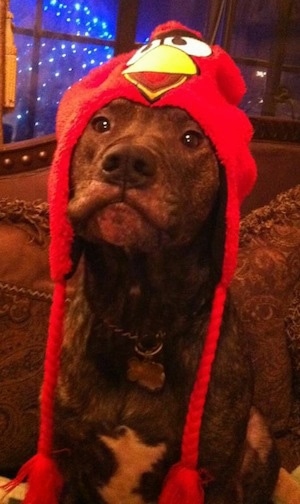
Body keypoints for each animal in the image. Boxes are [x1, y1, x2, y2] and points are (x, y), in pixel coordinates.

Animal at [52, 99, 280, 504]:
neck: (141, 326)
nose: (127, 161)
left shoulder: (215, 477)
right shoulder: (72, 465)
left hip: (259, 434)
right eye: (101, 123)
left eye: (191, 138)